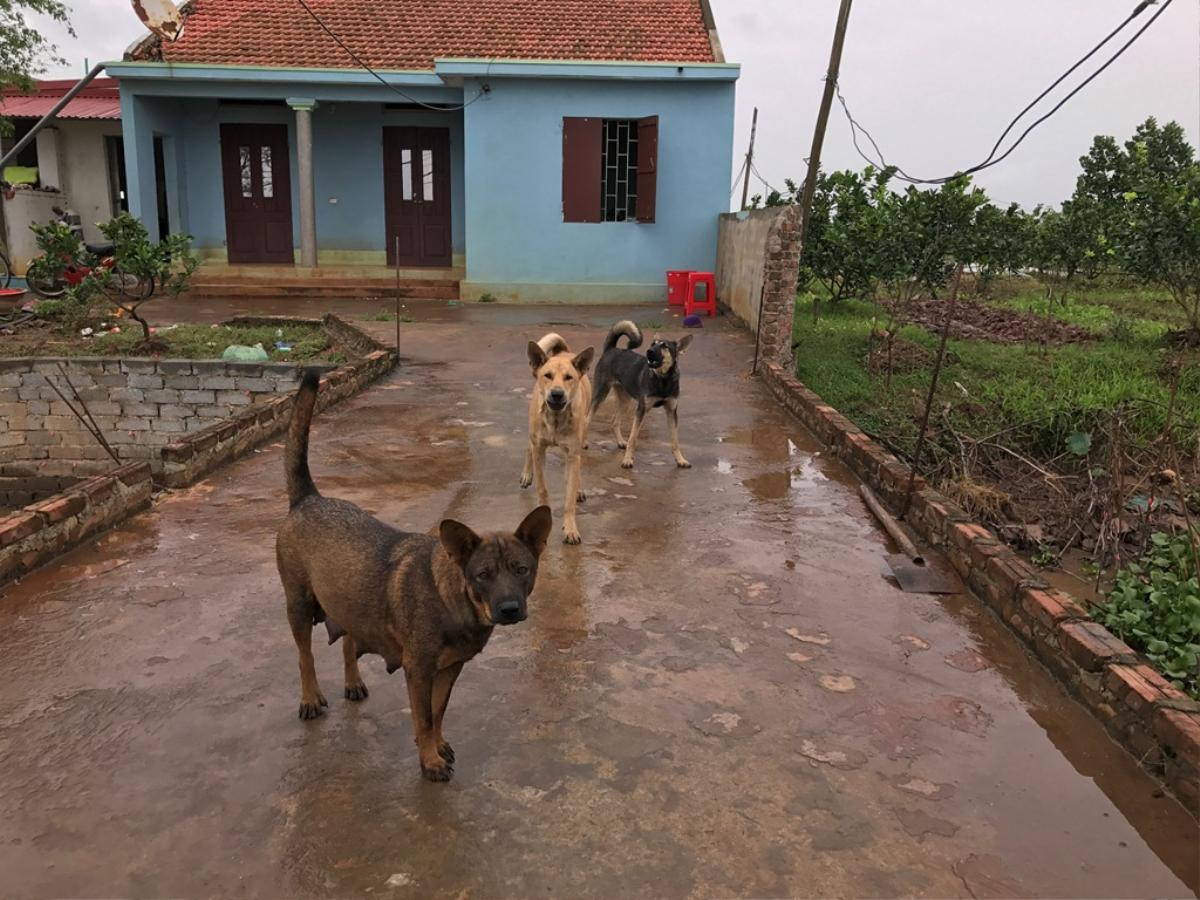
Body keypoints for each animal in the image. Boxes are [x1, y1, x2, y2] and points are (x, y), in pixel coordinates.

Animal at [276, 367, 552, 782]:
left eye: (522, 570)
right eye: (483, 574)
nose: (509, 609)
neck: (452, 601)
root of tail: (308, 498)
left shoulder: (450, 669)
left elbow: (437, 713)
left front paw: (435, 745)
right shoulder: (419, 671)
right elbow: (422, 717)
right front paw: (429, 760)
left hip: (349, 599)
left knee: (347, 640)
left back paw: (352, 680)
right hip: (298, 605)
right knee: (304, 655)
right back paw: (310, 698)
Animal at [520, 331, 595, 542]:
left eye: (569, 377)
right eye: (548, 376)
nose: (557, 394)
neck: (555, 419)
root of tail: (564, 352)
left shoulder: (573, 453)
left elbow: (569, 497)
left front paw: (570, 528)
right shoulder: (539, 449)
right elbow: (542, 487)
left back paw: (578, 488)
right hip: (532, 431)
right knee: (528, 447)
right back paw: (526, 474)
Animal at [590, 319, 696, 472]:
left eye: (664, 346)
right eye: (653, 344)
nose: (649, 351)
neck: (662, 379)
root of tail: (611, 349)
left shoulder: (671, 412)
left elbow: (675, 440)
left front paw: (680, 460)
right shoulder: (641, 410)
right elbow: (633, 437)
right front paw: (627, 460)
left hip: (625, 401)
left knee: (614, 421)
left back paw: (621, 442)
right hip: (600, 395)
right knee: (586, 419)